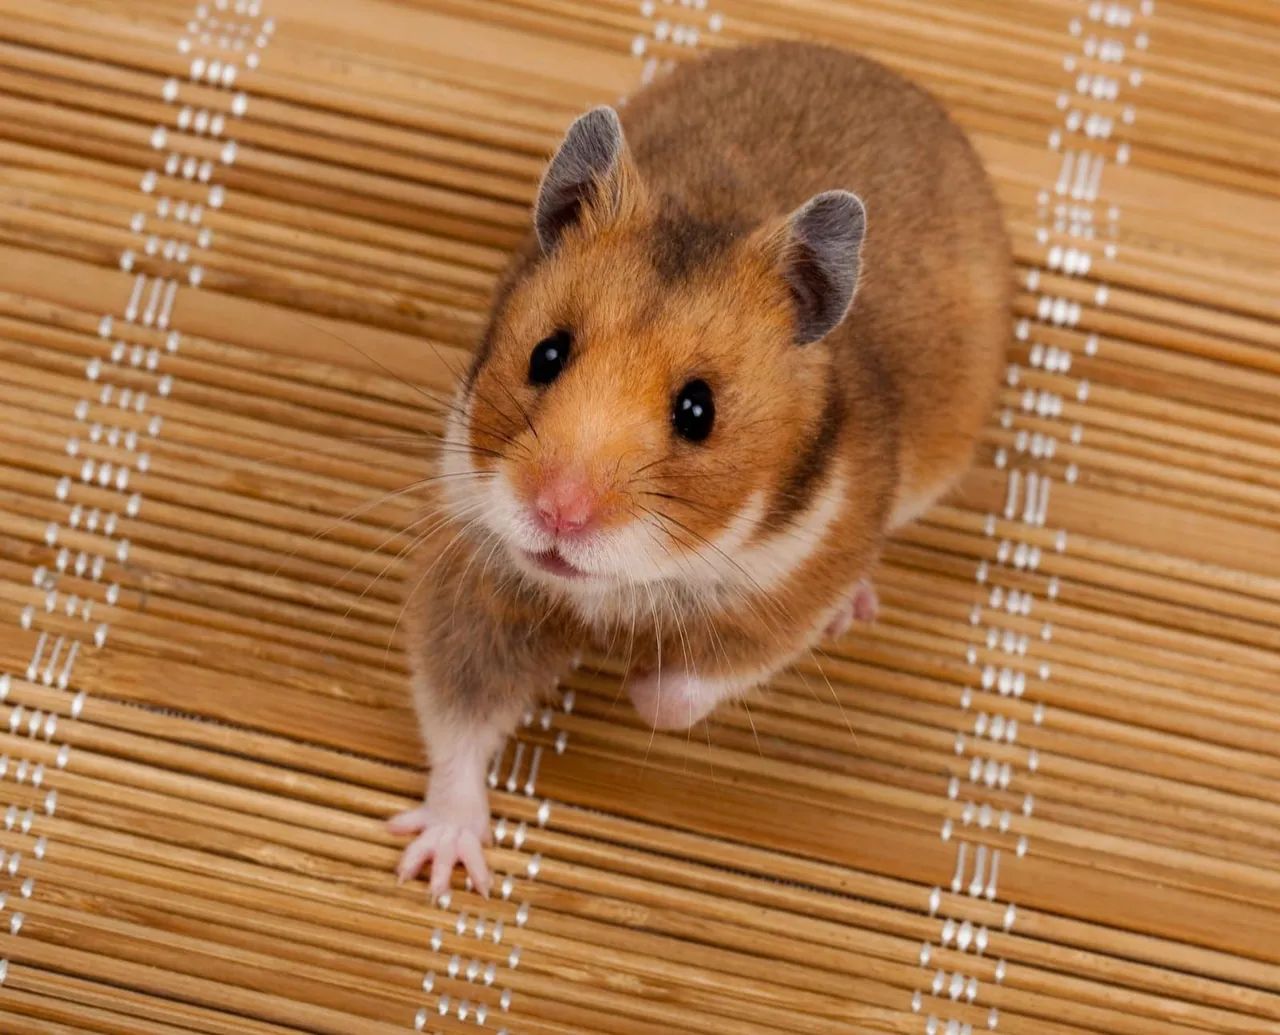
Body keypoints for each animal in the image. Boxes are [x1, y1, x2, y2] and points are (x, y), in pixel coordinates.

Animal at [388, 41, 1011, 897]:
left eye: (697, 410)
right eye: (547, 354)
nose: (556, 513)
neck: (625, 585)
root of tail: (873, 67)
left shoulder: (794, 580)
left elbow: (687, 687)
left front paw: (630, 680)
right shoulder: (477, 567)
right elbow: (457, 714)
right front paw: (442, 866)